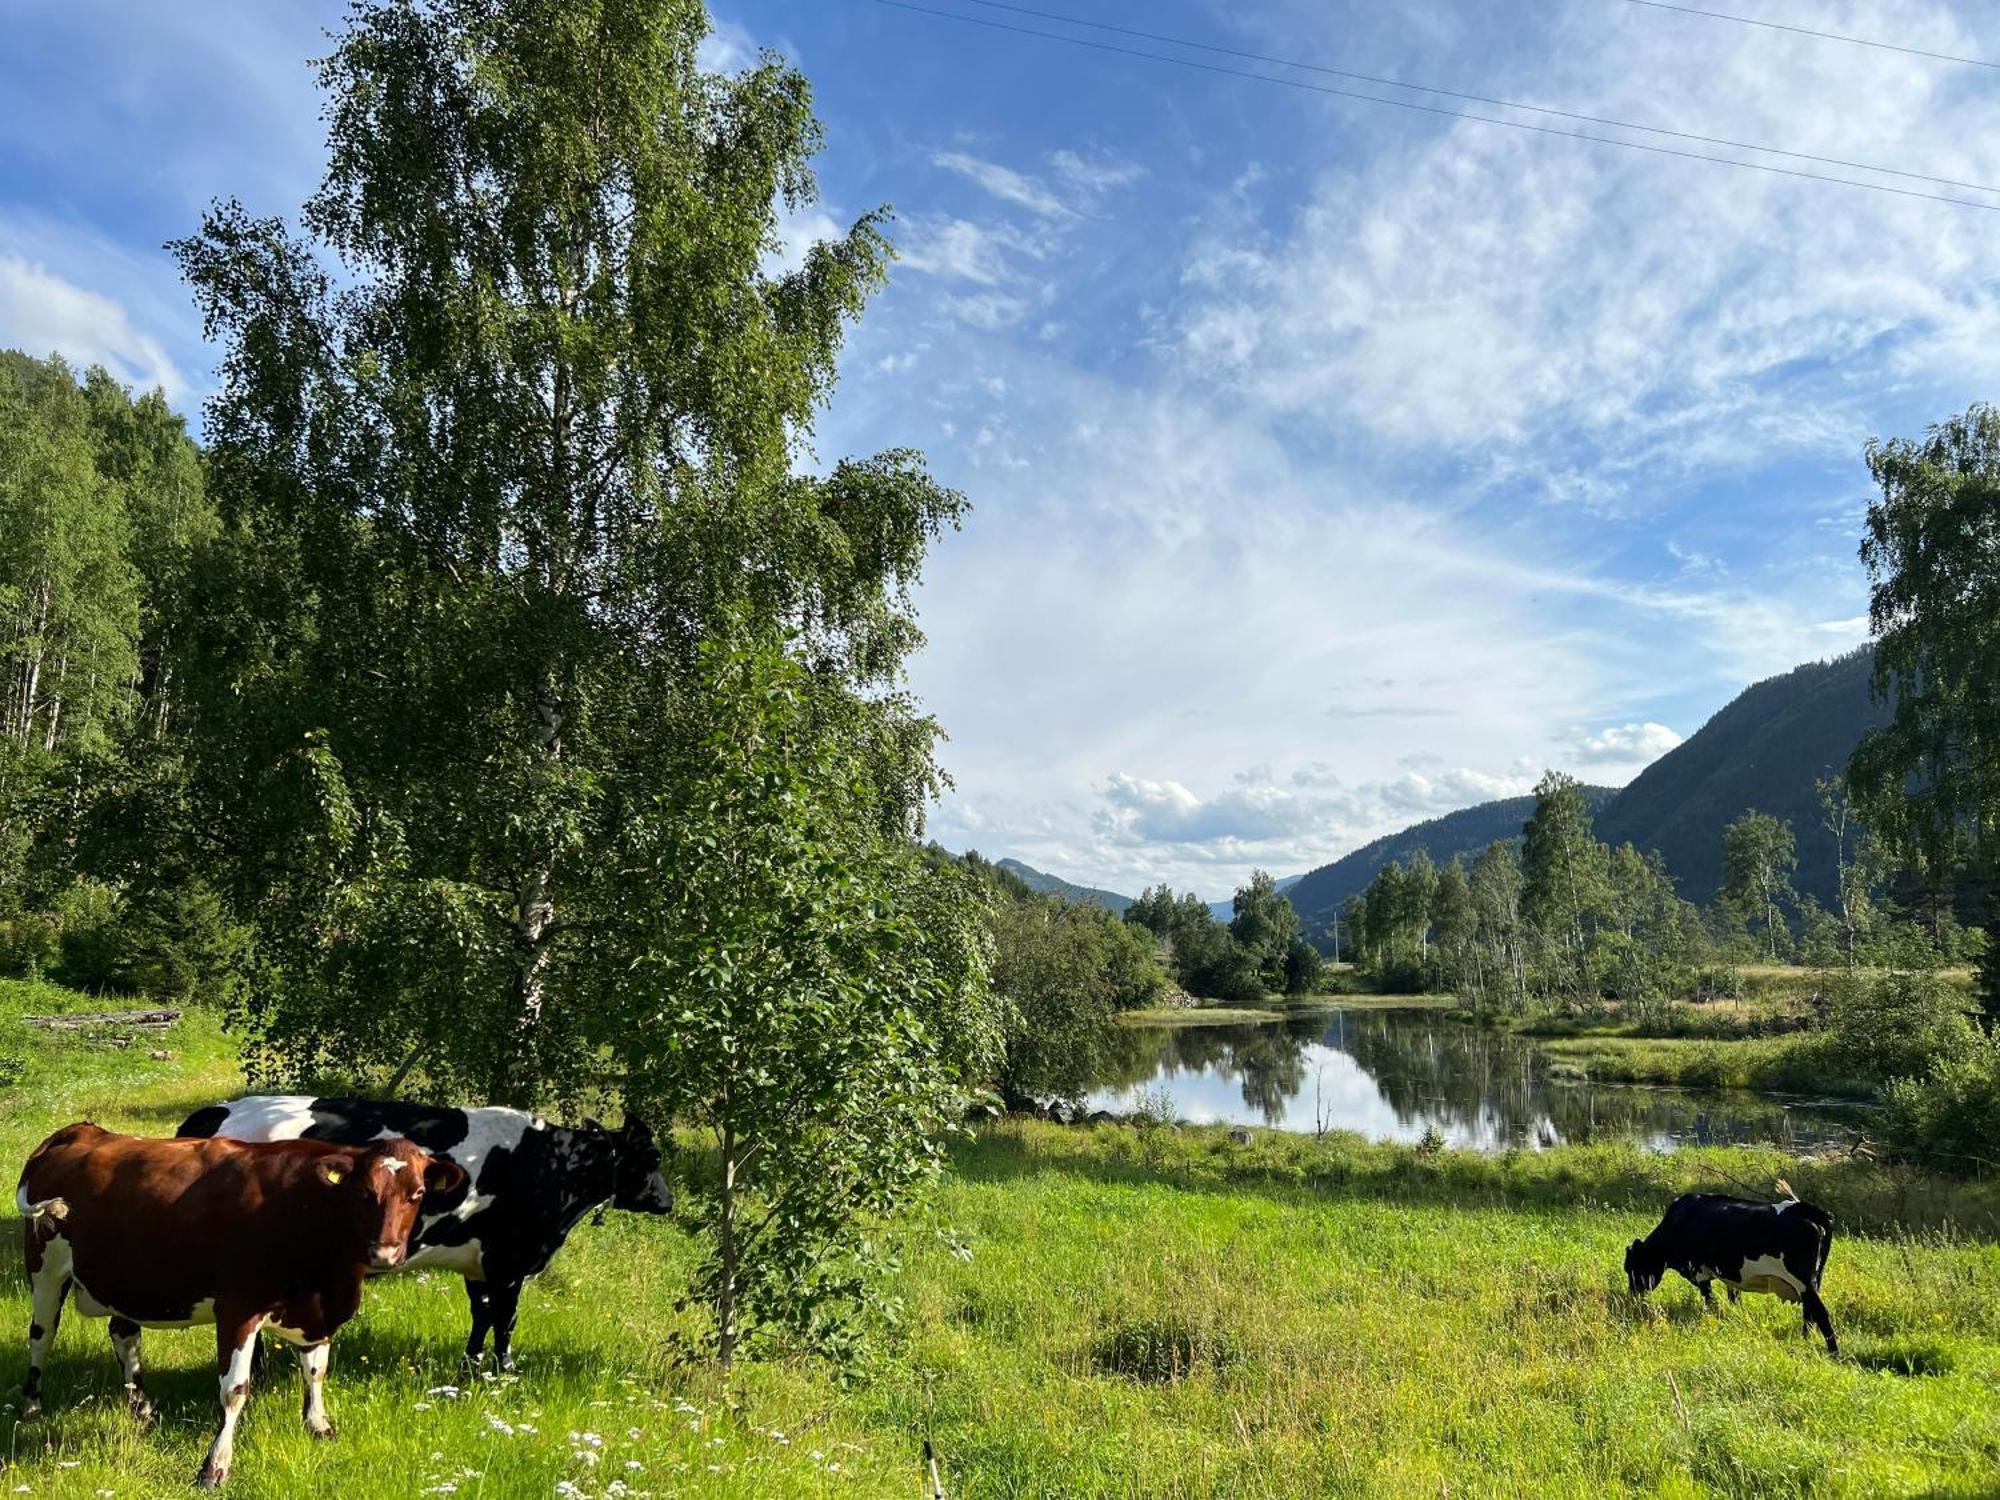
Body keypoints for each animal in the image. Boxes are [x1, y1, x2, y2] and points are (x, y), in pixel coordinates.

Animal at [17, 1128, 462, 1496]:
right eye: (365, 1193)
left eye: (417, 1194)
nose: (384, 1252)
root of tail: (80, 1130)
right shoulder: (238, 1308)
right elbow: (234, 1390)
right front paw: (215, 1466)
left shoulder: (317, 1314)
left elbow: (316, 1371)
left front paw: (319, 1425)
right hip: (46, 1268)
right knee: (41, 1337)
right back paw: (31, 1407)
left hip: (127, 1279)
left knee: (124, 1334)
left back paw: (141, 1408)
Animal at [178, 1096, 672, 1368]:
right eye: (652, 1159)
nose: (667, 1201)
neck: (551, 1165)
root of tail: (218, 1110)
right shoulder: (510, 1260)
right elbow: (506, 1320)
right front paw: (504, 1373)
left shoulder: (479, 1262)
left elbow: (482, 1315)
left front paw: (470, 1369)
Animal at [1624, 1200, 1832, 1360]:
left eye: (1631, 1268)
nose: (1634, 1297)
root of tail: (1808, 1209)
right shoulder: (1733, 1279)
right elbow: (1734, 1300)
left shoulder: (1699, 1272)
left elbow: (1710, 1301)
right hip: (1814, 1281)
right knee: (1809, 1313)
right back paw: (1805, 1338)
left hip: (1803, 1281)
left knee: (1820, 1312)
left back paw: (1833, 1353)